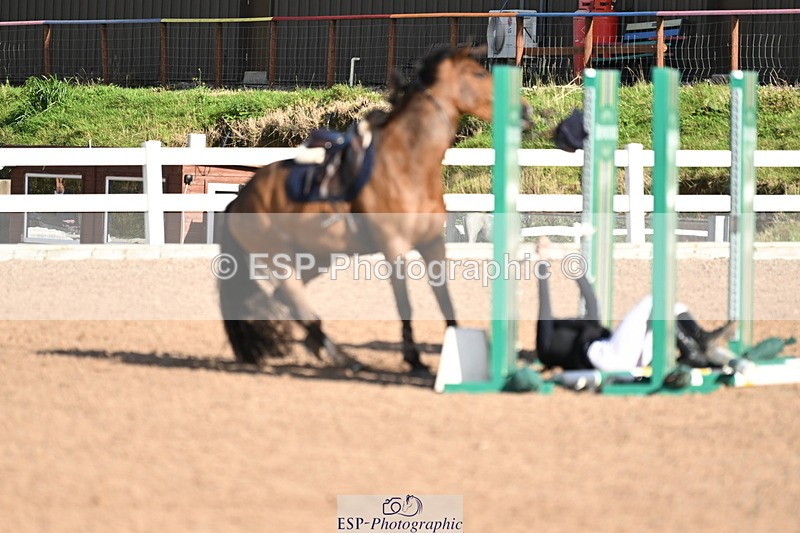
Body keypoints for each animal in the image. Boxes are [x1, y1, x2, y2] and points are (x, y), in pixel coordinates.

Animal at [217, 47, 581, 375]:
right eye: (479, 74)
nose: (524, 110)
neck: (409, 163)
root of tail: (240, 200)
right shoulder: (394, 249)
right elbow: (404, 302)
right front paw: (413, 358)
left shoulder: (433, 245)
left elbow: (445, 299)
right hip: (279, 258)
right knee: (295, 301)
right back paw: (343, 358)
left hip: (316, 257)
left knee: (286, 299)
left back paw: (327, 352)